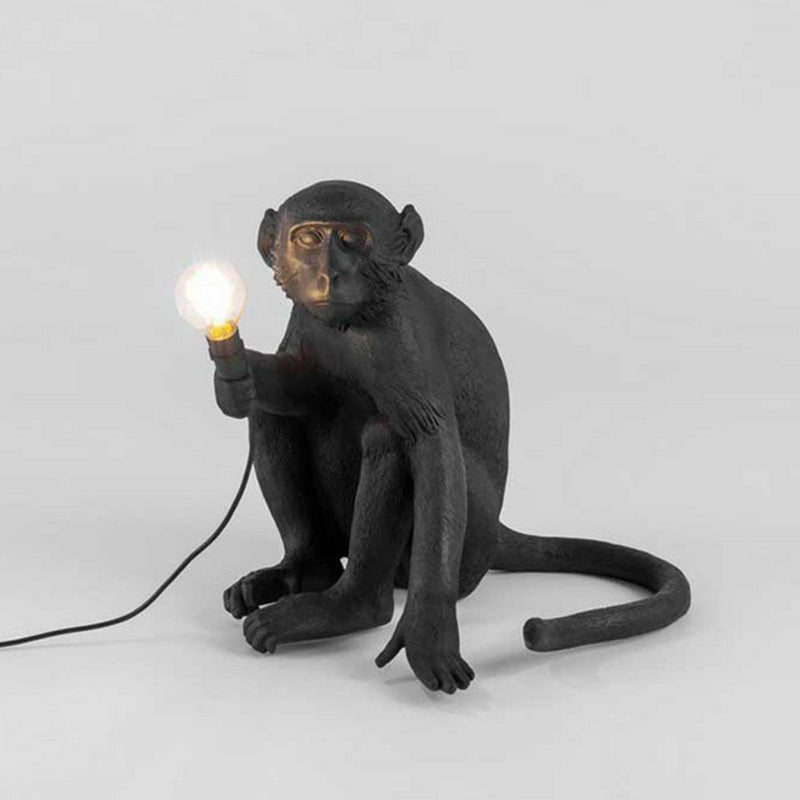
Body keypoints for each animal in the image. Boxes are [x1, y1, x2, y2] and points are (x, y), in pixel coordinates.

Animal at [214, 180, 691, 693]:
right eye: (308, 239)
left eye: (352, 240)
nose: (328, 275)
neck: (357, 318)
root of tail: (497, 531)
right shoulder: (307, 320)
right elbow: (298, 388)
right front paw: (240, 377)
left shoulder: (401, 337)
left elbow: (430, 444)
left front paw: (429, 629)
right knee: (274, 417)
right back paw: (306, 569)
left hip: (470, 544)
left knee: (388, 437)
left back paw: (352, 606)